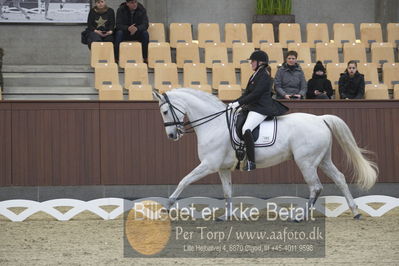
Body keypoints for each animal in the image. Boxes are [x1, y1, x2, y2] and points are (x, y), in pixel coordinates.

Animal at [152, 89, 378, 218]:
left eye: (165, 111)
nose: (172, 135)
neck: (214, 124)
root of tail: (320, 118)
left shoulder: (208, 164)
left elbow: (184, 180)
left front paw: (166, 206)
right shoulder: (222, 168)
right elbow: (227, 192)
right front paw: (227, 215)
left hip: (306, 162)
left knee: (316, 187)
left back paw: (300, 216)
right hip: (322, 159)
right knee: (339, 179)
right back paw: (355, 211)